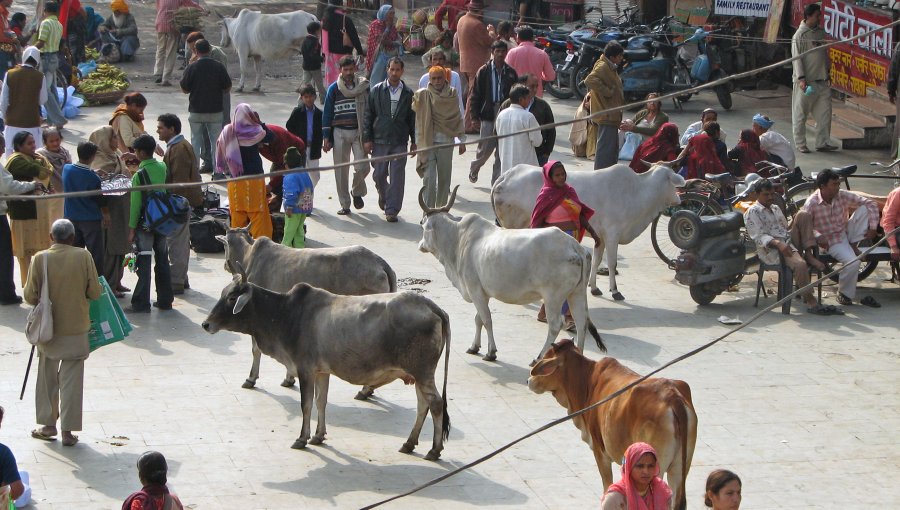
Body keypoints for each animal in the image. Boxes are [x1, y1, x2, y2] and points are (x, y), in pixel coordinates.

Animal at [205, 268, 454, 460]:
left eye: (231, 298)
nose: (206, 324)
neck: (285, 314)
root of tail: (431, 306)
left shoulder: (305, 369)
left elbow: (306, 405)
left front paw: (302, 438)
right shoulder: (321, 372)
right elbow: (321, 402)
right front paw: (318, 436)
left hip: (423, 373)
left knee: (436, 404)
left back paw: (434, 450)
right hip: (418, 375)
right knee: (423, 405)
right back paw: (409, 444)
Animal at [216, 227, 396, 390]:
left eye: (224, 245)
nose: (225, 264)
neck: (249, 256)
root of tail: (379, 262)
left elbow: (256, 349)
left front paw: (251, 379)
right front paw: (289, 379)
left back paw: (365, 390)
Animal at [416, 186, 604, 362]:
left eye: (423, 225)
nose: (420, 245)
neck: (458, 240)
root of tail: (575, 247)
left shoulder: (475, 290)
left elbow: (486, 319)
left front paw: (491, 352)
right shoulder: (482, 293)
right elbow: (478, 319)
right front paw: (475, 347)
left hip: (554, 297)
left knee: (555, 325)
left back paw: (539, 357)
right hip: (576, 293)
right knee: (581, 323)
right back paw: (579, 357)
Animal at [492, 162, 684, 298]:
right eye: (673, 181)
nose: (679, 200)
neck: (636, 191)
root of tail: (506, 176)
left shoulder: (601, 237)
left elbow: (597, 260)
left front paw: (594, 287)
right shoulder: (613, 234)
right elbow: (612, 263)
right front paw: (615, 291)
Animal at [528, 338, 696, 510]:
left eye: (546, 357)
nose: (529, 379)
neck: (588, 381)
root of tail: (673, 396)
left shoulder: (600, 450)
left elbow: (607, 486)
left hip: (656, 466)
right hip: (680, 468)